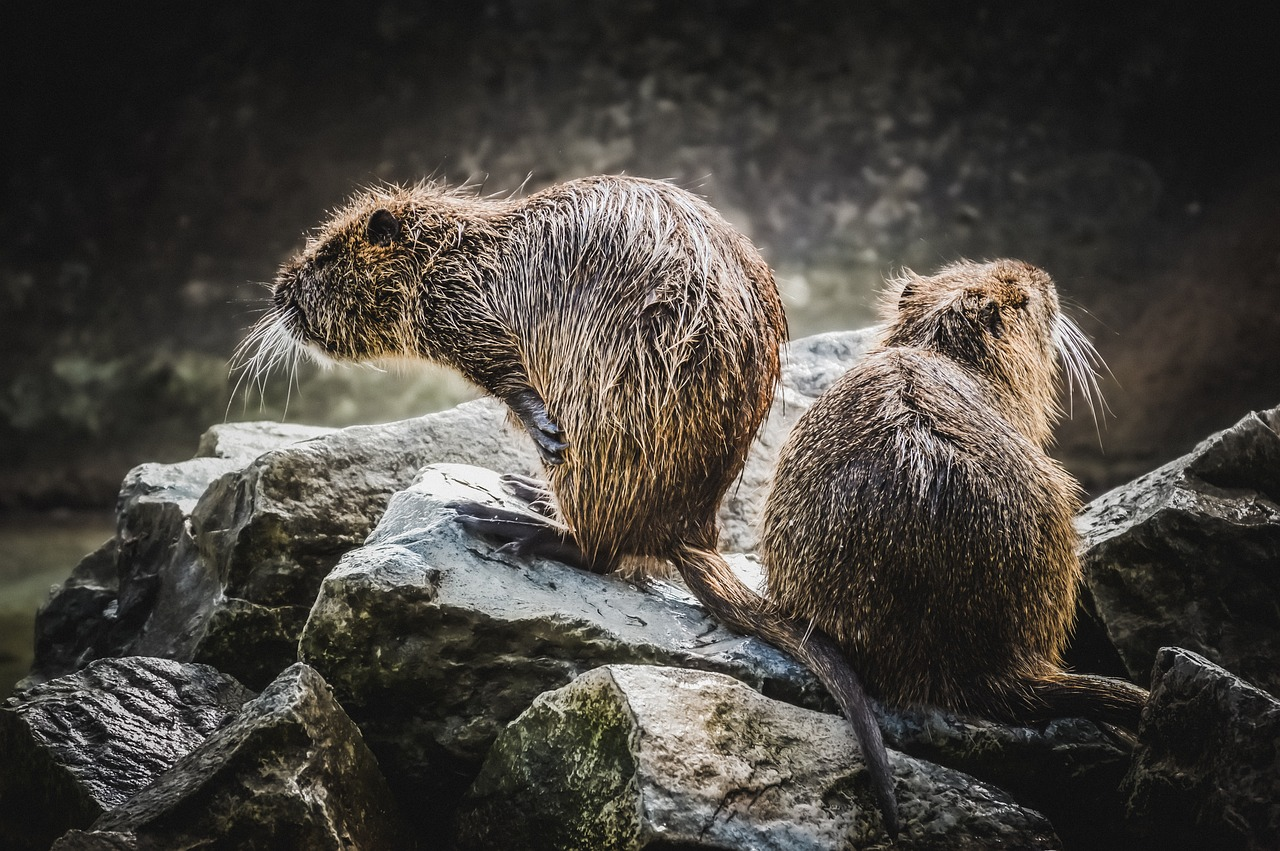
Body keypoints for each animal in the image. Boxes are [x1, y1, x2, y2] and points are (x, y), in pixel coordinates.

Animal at [238, 172, 901, 829]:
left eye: (327, 255)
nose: (279, 289)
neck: (463, 251)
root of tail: (688, 535)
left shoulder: (464, 311)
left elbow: (506, 370)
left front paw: (542, 430)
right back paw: (524, 493)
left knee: (598, 551)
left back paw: (503, 520)